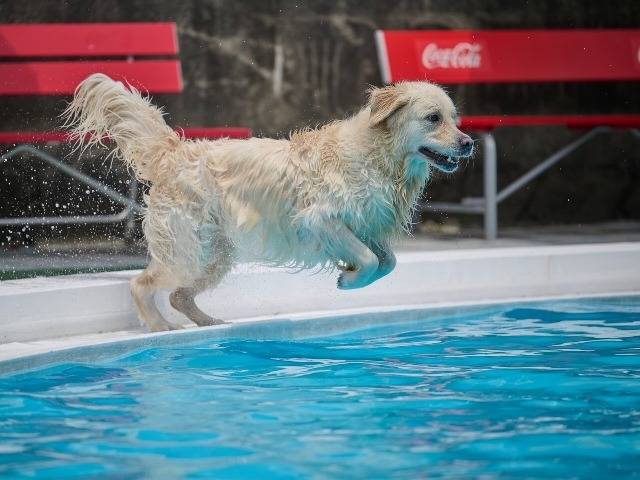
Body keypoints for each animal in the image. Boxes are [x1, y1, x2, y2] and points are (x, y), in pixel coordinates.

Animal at [62, 74, 472, 330]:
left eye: (455, 118)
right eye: (433, 118)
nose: (468, 142)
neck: (380, 156)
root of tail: (175, 152)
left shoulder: (369, 224)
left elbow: (388, 262)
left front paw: (351, 274)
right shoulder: (319, 219)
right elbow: (371, 259)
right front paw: (348, 279)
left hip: (215, 254)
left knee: (179, 296)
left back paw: (208, 324)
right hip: (187, 250)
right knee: (141, 284)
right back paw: (160, 326)